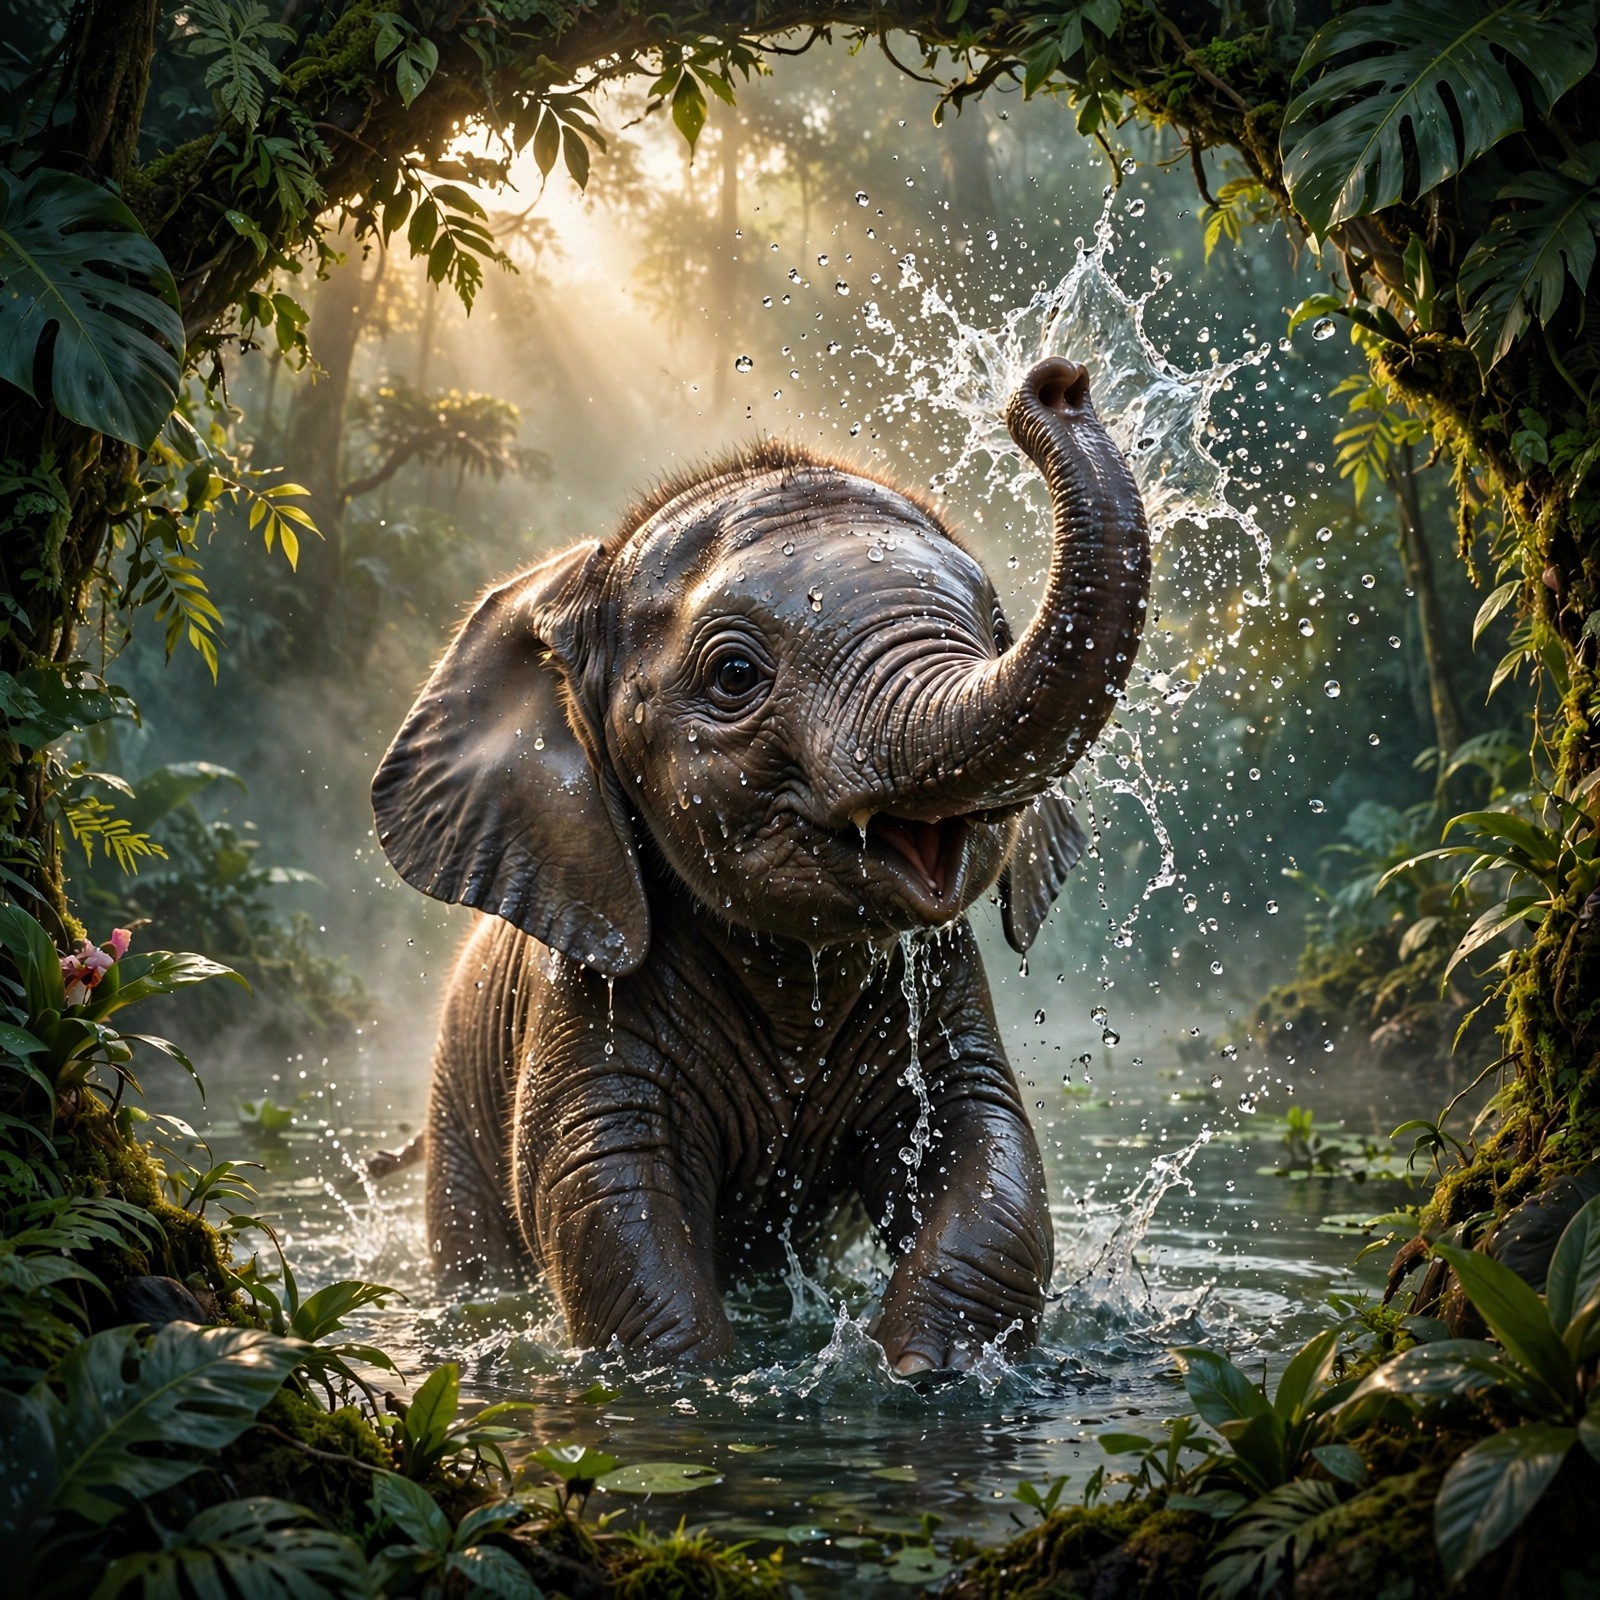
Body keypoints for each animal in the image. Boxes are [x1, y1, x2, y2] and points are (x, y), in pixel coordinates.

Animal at [370, 357, 1150, 1375]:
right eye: (735, 676)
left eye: (992, 628)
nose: (1056, 385)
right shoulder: (582, 986)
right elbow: (602, 1192)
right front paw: (700, 1385)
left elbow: (988, 1153)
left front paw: (921, 1376)